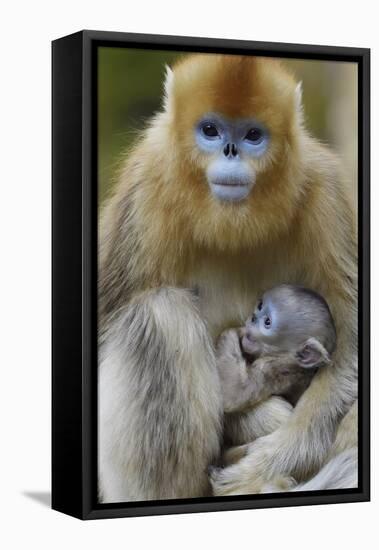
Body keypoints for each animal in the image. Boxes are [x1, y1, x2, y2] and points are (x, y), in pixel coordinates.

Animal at [218, 286, 336, 454]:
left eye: (267, 322)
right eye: (260, 306)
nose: (253, 317)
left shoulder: (274, 366)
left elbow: (235, 392)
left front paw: (234, 331)